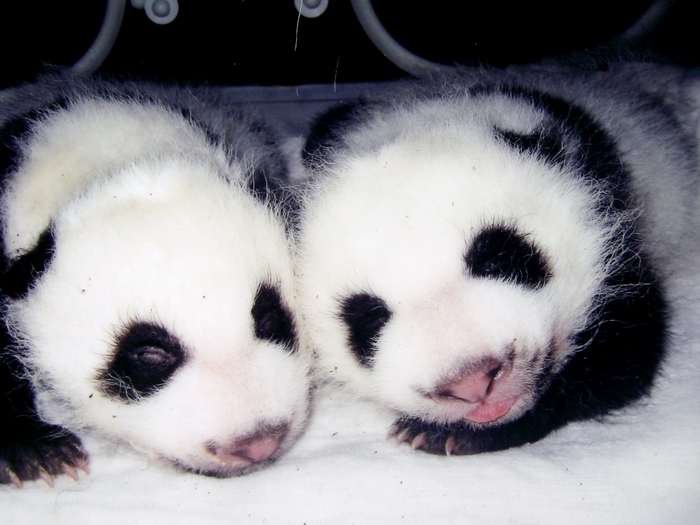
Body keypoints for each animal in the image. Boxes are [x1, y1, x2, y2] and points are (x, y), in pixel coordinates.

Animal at [296, 63, 700, 456]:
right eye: (370, 319)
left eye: (496, 260)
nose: (472, 382)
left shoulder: (614, 238)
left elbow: (625, 354)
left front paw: (445, 434)